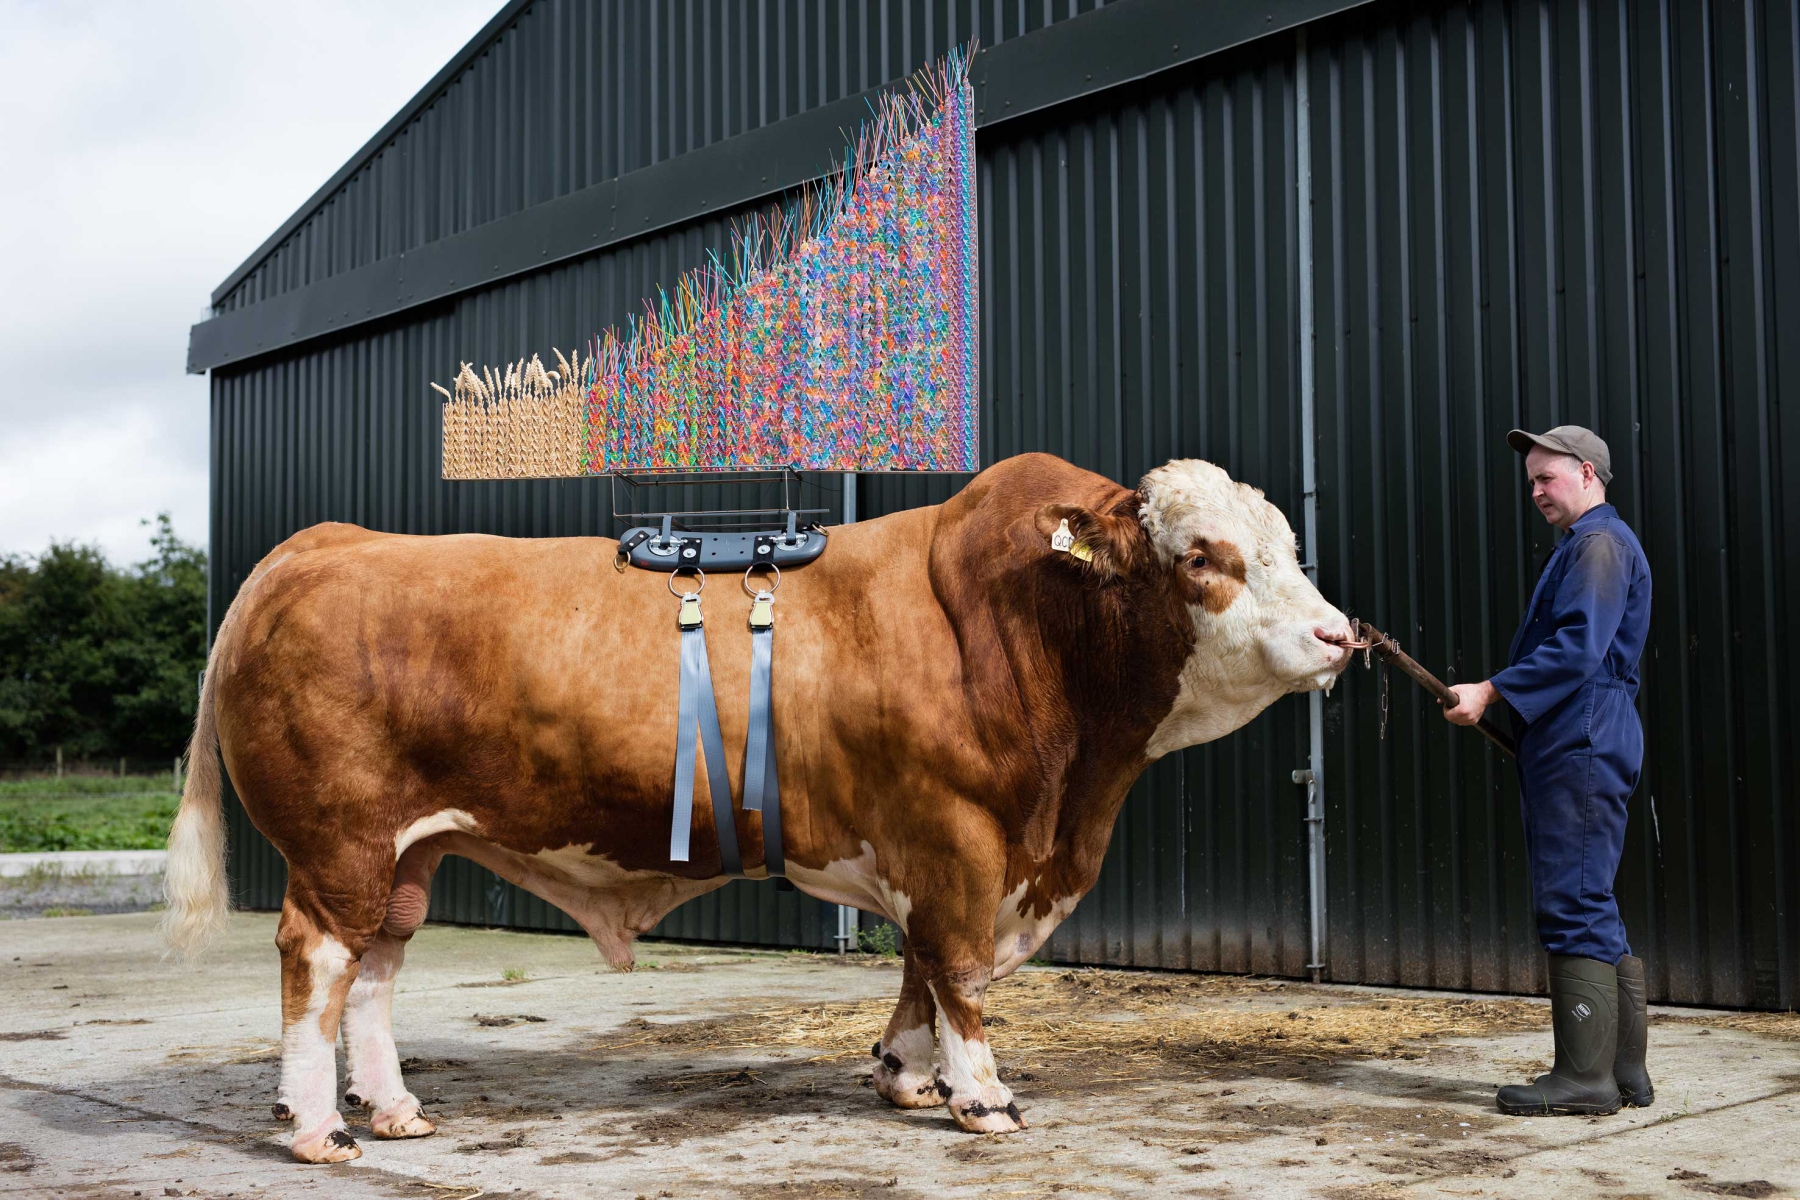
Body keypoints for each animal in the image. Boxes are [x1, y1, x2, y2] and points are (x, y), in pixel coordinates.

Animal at [161, 451, 1355, 1163]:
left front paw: (905, 1077)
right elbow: (960, 970)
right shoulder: (959, 835)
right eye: (1201, 557)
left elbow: (918, 967)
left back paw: (394, 1108)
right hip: (340, 842)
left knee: (375, 968)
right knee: (317, 958)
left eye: (1292, 546)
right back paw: (321, 1128)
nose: (1339, 636)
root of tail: (321, 544)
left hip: (409, 851)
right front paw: (982, 1096)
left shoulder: (929, 846)